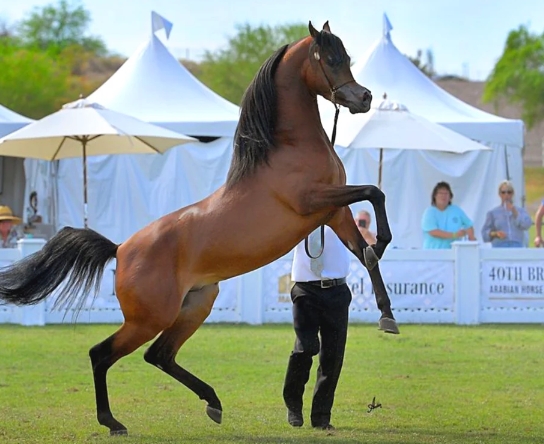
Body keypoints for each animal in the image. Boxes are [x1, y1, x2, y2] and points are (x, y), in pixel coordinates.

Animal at [0, 21, 398, 438]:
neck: (289, 149)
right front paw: (383, 249)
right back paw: (113, 422)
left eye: (347, 57)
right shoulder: (314, 201)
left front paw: (387, 311)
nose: (365, 98)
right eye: (331, 59)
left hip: (195, 305)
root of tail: (121, 248)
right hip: (149, 318)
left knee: (158, 355)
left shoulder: (333, 213)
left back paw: (213, 403)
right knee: (102, 354)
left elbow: (363, 249)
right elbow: (374, 192)